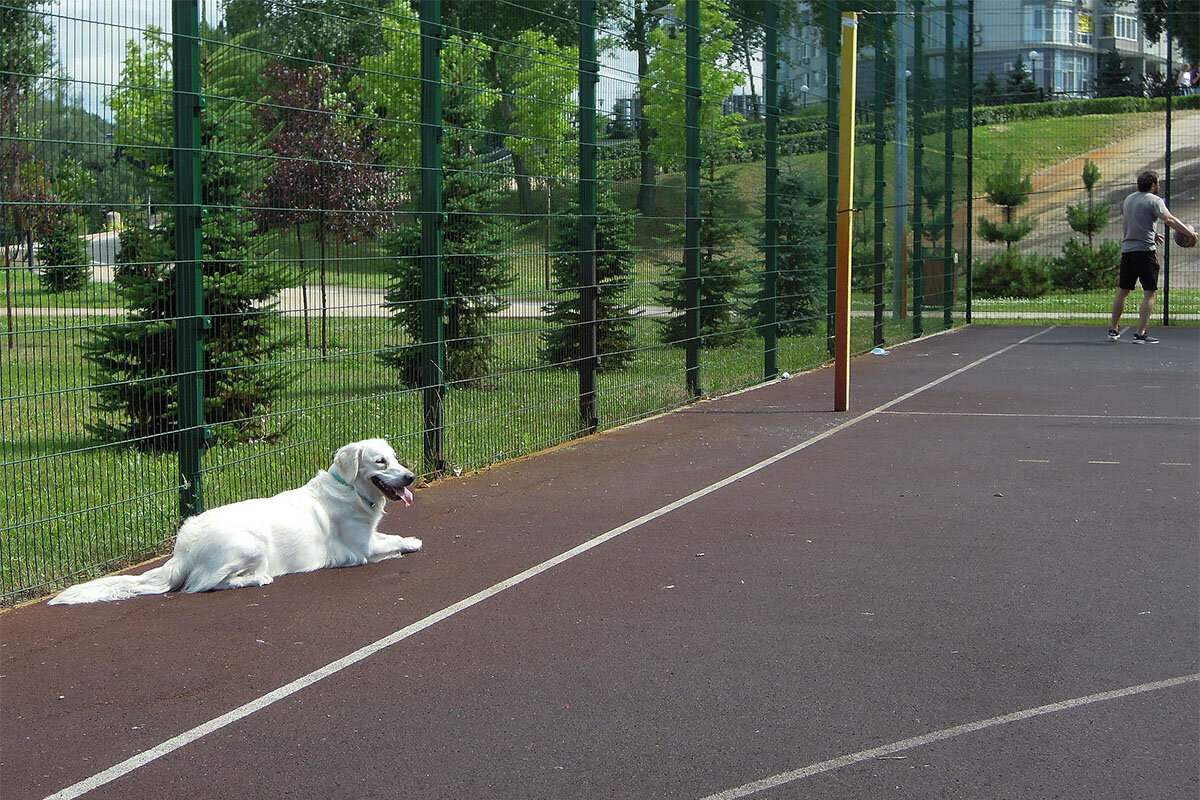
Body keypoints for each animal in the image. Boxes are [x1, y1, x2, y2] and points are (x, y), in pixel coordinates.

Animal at [49, 438, 424, 606]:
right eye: (380, 461)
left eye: (395, 458)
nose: (410, 477)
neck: (349, 489)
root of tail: (183, 549)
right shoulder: (362, 547)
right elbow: (393, 541)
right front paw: (410, 543)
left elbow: (391, 535)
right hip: (250, 544)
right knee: (205, 584)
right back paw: (257, 579)